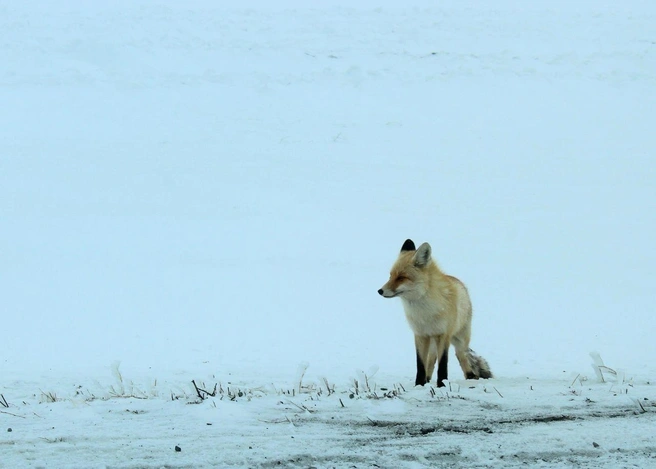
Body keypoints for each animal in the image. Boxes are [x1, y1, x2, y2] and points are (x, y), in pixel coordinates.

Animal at [376, 239, 490, 386]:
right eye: (390, 276)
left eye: (401, 277)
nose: (380, 291)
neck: (425, 313)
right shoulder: (420, 335)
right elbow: (420, 364)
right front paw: (419, 384)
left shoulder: (443, 335)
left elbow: (443, 364)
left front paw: (442, 384)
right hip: (432, 341)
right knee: (431, 359)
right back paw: (428, 379)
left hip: (460, 339)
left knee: (461, 355)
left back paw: (470, 376)